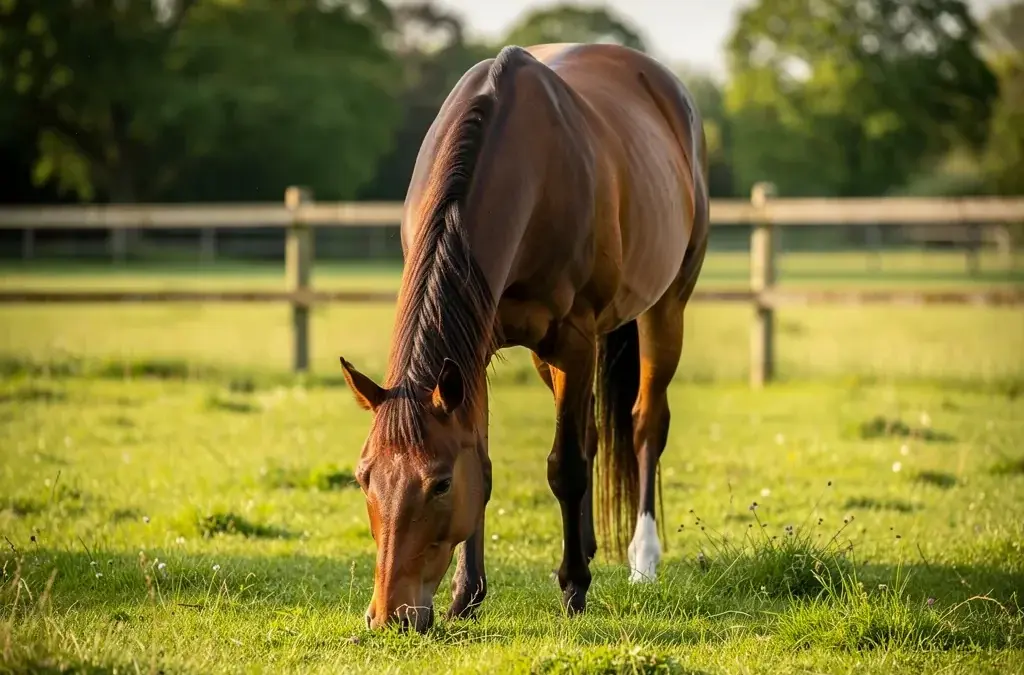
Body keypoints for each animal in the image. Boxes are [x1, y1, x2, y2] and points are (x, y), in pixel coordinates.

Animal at [339, 42, 709, 632]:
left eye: (440, 484)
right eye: (363, 477)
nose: (391, 616)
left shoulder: (575, 341)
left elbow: (566, 467)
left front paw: (574, 589)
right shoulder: (475, 352)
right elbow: (488, 466)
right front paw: (466, 596)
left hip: (665, 307)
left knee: (644, 424)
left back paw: (642, 559)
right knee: (593, 432)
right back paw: (588, 546)